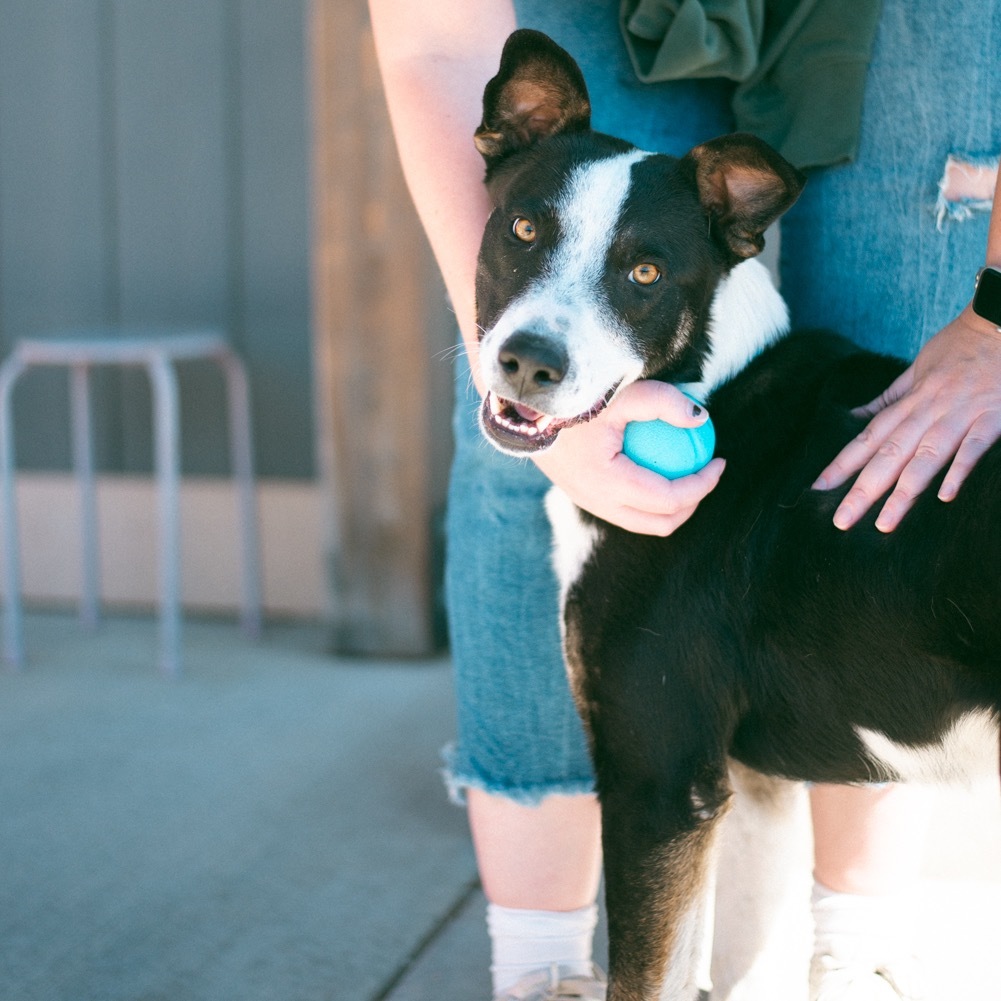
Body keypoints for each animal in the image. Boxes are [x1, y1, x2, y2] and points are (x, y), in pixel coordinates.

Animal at [470, 27, 1001, 1001]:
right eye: (523, 229)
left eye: (644, 272)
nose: (529, 362)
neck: (707, 382)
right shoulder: (745, 791)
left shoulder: (658, 780)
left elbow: (640, 978)